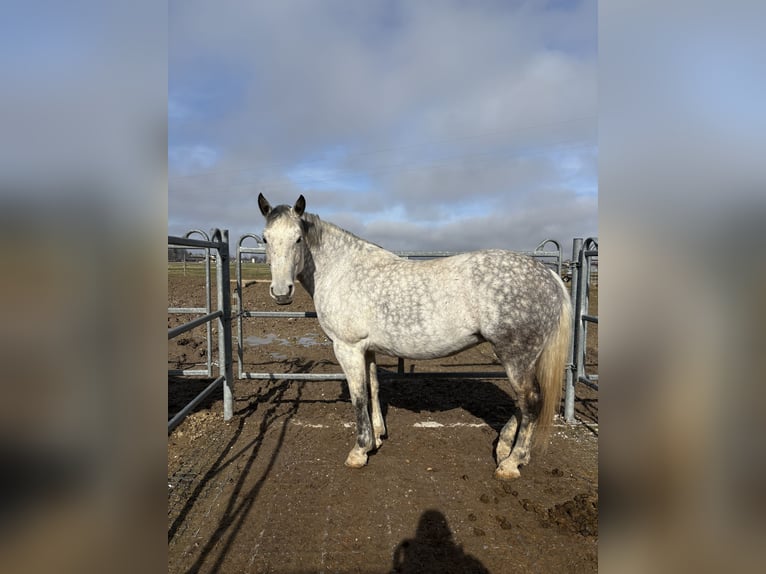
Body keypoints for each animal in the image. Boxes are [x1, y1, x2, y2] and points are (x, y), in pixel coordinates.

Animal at [257, 194, 572, 480]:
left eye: (298, 239)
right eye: (265, 238)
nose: (281, 292)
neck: (341, 270)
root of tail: (550, 275)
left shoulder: (347, 347)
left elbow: (358, 396)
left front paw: (359, 450)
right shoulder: (367, 349)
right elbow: (374, 388)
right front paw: (377, 437)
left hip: (515, 356)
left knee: (530, 401)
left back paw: (511, 463)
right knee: (523, 403)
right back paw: (506, 448)